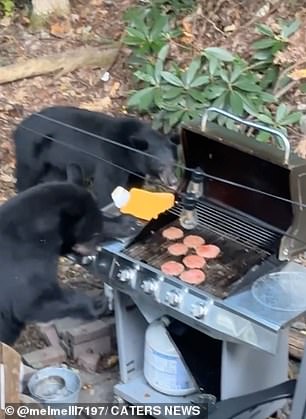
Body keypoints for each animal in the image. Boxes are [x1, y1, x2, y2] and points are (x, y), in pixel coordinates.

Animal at [13, 106, 179, 209]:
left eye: (173, 163)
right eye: (160, 165)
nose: (173, 181)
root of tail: (18, 128)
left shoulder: (132, 168)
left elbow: (133, 181)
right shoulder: (111, 157)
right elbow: (107, 185)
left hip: (55, 162)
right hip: (31, 151)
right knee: (27, 174)